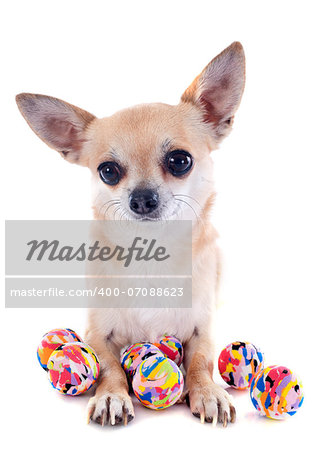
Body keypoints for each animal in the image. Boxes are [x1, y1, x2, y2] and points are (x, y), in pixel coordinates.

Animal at [16, 43, 245, 428]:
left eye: (180, 161)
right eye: (108, 171)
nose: (141, 198)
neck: (152, 259)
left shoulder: (202, 330)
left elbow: (201, 360)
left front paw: (208, 391)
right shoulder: (97, 332)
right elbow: (108, 364)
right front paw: (112, 396)